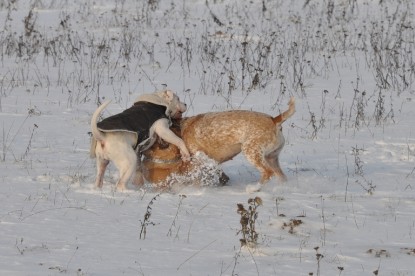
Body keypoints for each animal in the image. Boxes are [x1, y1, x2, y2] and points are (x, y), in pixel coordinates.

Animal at [143, 96, 296, 191]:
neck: (181, 129)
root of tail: (274, 120)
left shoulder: (199, 159)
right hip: (271, 157)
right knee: (281, 177)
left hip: (251, 151)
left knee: (267, 172)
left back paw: (253, 189)